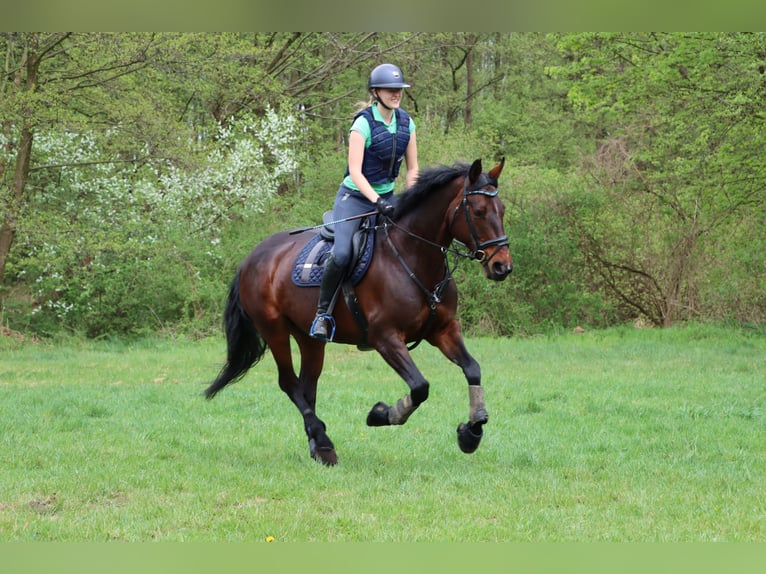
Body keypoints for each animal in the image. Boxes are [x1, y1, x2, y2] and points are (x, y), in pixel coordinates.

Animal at [205, 158, 512, 465]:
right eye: (479, 211)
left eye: (502, 210)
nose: (502, 267)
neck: (412, 256)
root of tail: (251, 258)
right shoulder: (385, 338)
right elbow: (420, 386)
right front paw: (381, 414)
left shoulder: (444, 330)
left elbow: (473, 369)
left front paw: (471, 432)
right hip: (274, 330)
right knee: (289, 383)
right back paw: (323, 440)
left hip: (309, 338)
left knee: (307, 386)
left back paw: (319, 447)